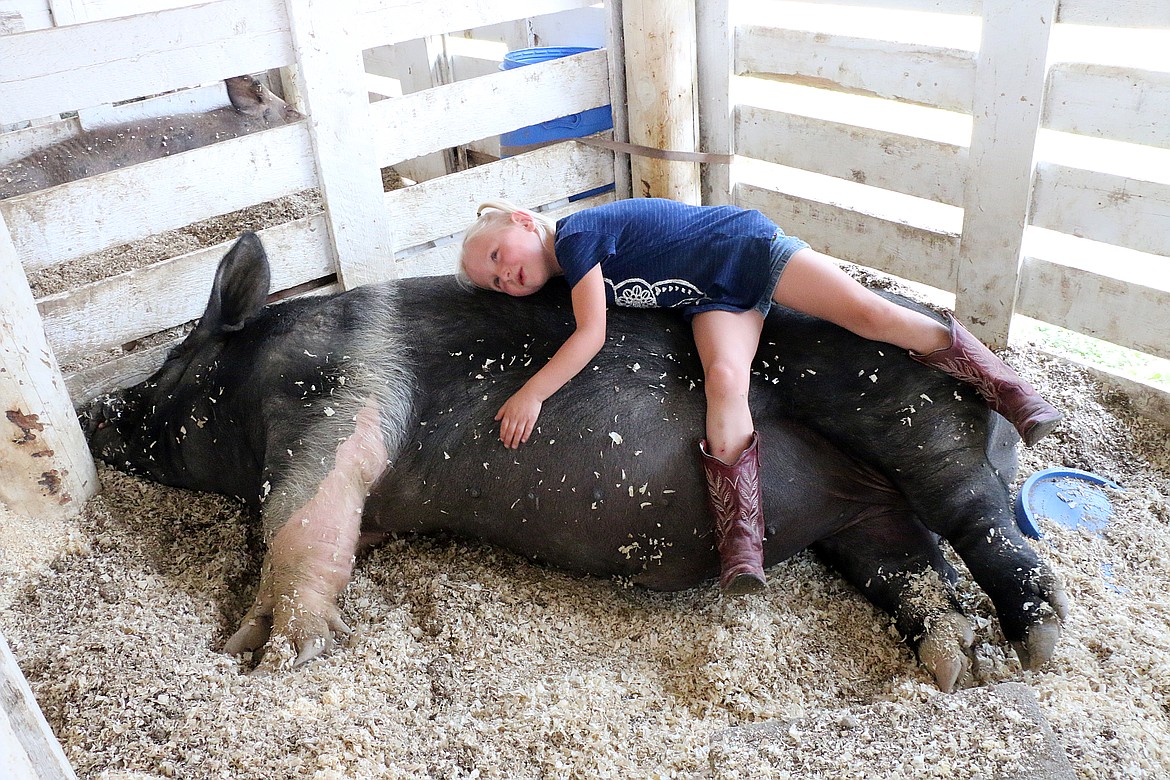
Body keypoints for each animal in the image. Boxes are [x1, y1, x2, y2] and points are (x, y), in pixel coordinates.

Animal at [82, 230, 1071, 687]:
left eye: (165, 372)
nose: (92, 411)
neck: (256, 384)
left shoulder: (341, 386)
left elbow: (304, 508)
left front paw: (261, 653)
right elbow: (335, 525)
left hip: (908, 413)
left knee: (978, 519)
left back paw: (1042, 640)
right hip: (865, 515)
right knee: (914, 567)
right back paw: (961, 665)